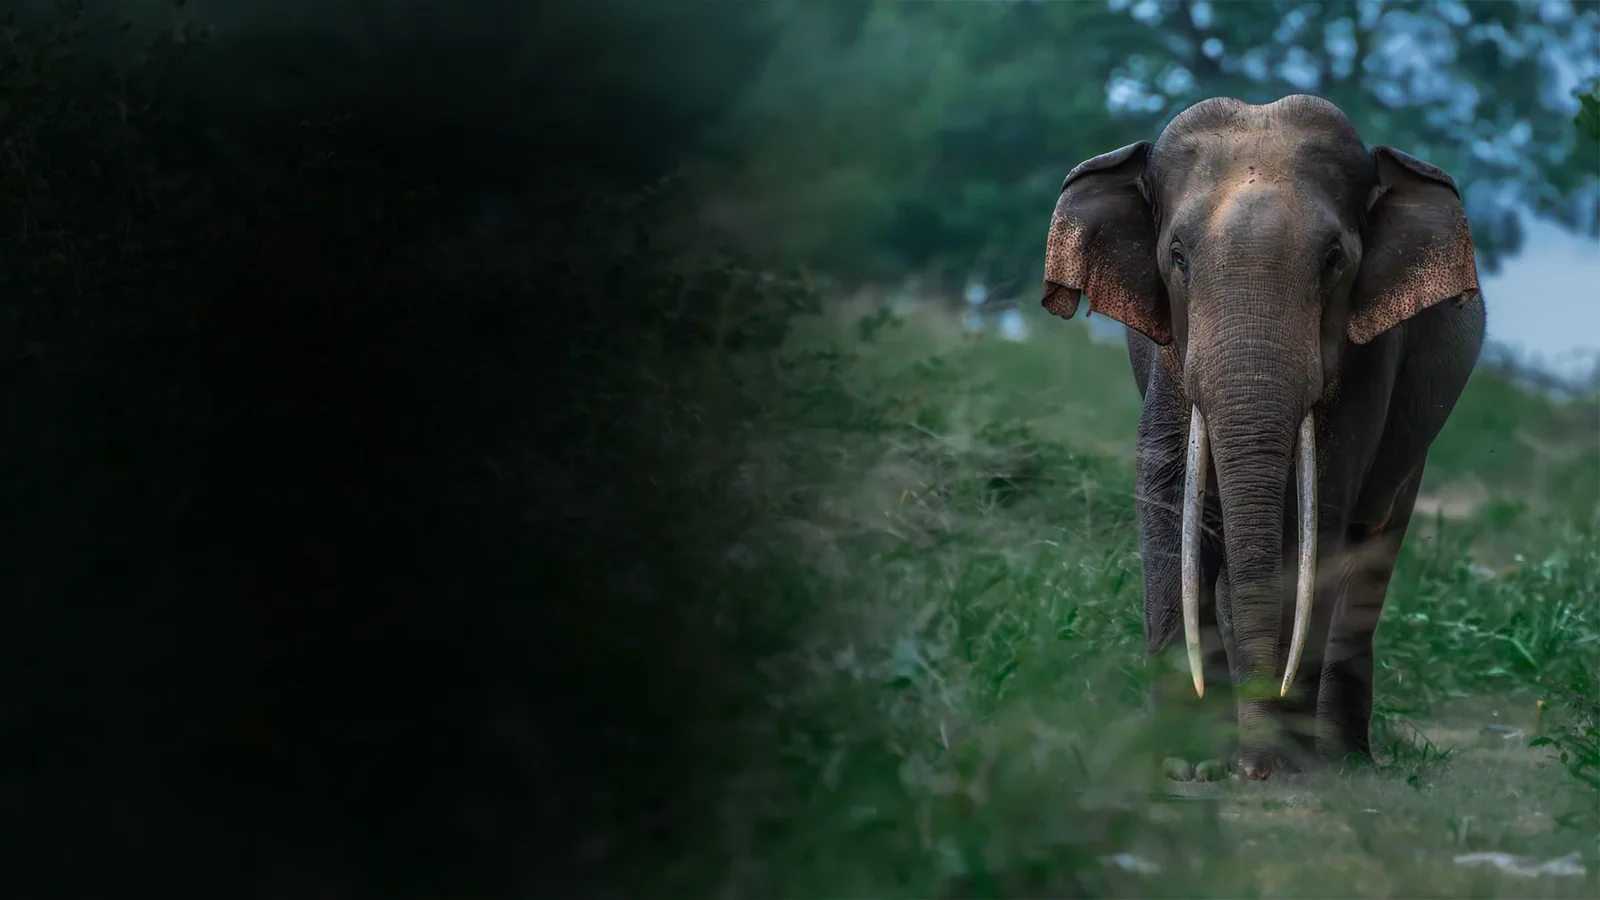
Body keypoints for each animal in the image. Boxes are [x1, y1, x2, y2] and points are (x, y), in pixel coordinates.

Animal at [1039, 94, 1485, 780]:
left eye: (1334, 262)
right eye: (1178, 257)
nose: (1254, 770)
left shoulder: (1369, 355)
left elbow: (1318, 512)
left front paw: (1283, 762)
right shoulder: (1171, 355)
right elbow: (1168, 491)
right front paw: (1185, 761)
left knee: (1371, 547)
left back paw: (1344, 757)